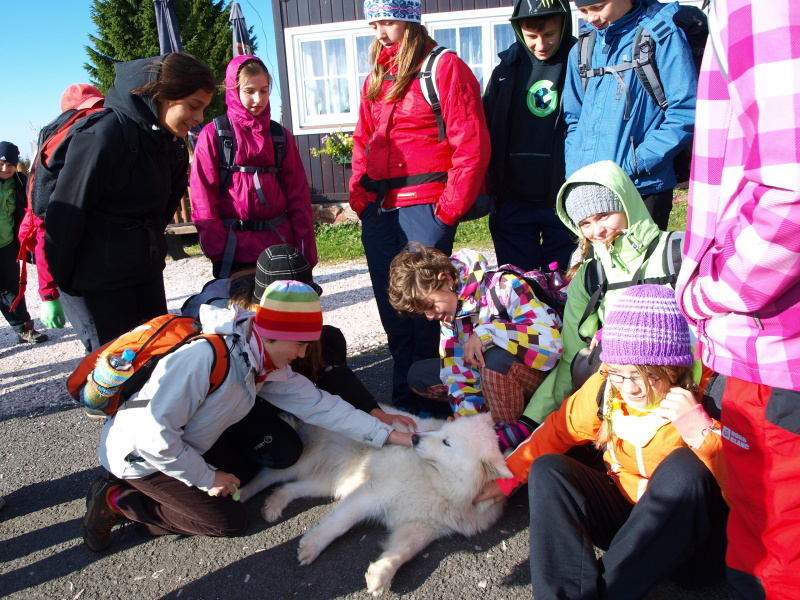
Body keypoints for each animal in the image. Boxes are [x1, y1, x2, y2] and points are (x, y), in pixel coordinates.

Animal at [238, 409, 512, 596]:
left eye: (447, 442)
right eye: (441, 432)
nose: (414, 438)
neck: (438, 483)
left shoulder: (422, 527)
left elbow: (404, 551)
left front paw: (381, 574)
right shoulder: (374, 492)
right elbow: (340, 524)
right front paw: (313, 546)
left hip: (328, 483)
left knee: (290, 488)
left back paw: (273, 505)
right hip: (299, 461)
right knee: (265, 477)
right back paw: (238, 493)